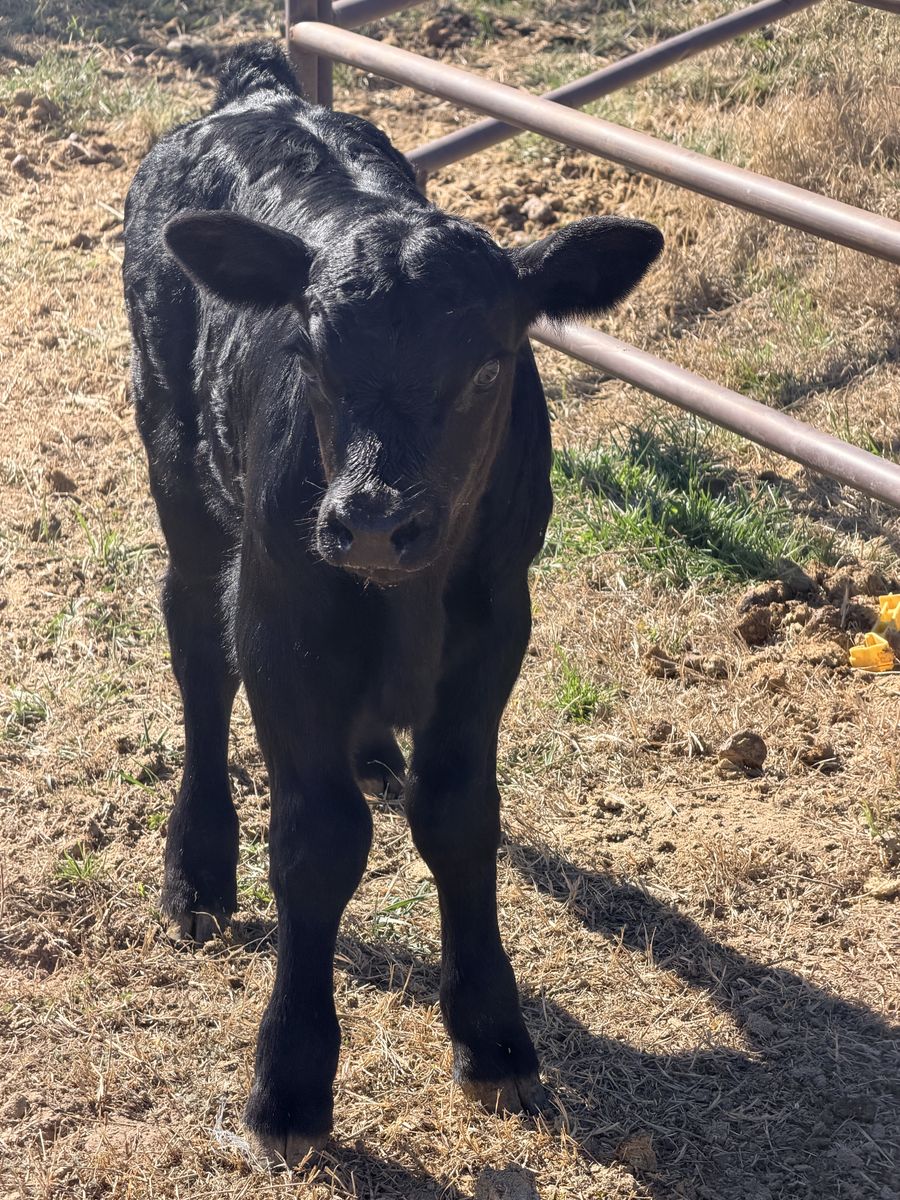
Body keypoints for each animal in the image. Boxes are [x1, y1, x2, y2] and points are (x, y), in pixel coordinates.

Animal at [123, 40, 663, 1164]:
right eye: (311, 352)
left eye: (491, 365)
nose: (371, 521)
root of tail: (257, 93)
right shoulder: (280, 610)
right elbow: (317, 840)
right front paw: (289, 1085)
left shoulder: (497, 616)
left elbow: (458, 814)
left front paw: (495, 1039)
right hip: (177, 466)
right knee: (195, 647)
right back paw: (197, 872)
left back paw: (372, 750)